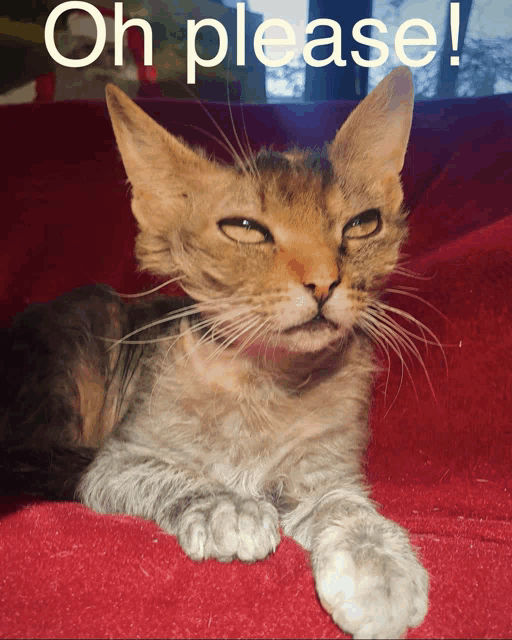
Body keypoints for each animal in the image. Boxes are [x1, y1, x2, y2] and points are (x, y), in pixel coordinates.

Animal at [2, 67, 428, 636]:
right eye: (245, 229)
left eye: (363, 224)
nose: (324, 282)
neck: (266, 385)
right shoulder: (115, 460)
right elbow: (177, 473)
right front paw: (229, 506)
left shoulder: (324, 471)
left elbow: (348, 506)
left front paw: (379, 566)